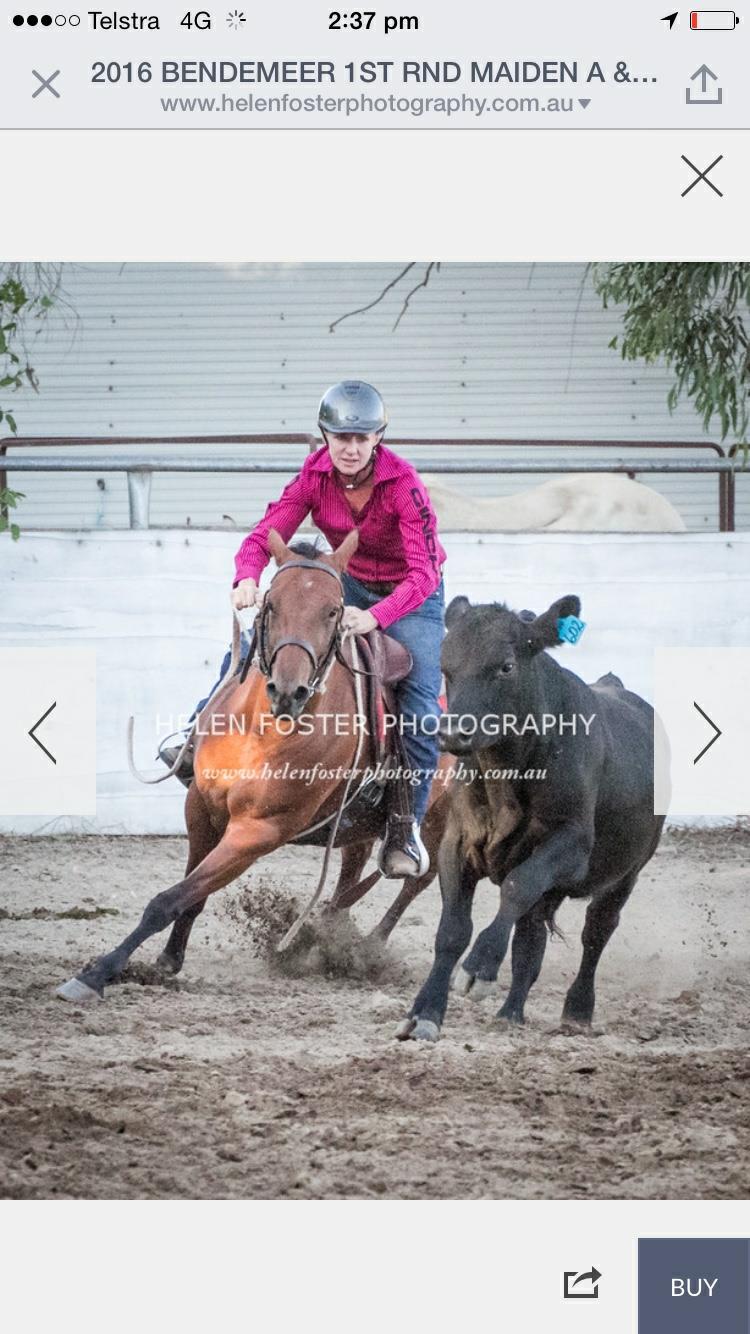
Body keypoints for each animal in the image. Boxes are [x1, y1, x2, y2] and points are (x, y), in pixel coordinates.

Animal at [57, 529, 451, 1002]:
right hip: (357, 823)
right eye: (270, 604)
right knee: (349, 875)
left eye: (333, 611)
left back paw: (366, 944)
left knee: (417, 880)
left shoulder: (258, 831)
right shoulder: (202, 808)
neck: (262, 729)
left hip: (441, 818)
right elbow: (191, 896)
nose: (288, 691)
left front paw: (98, 972)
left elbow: (166, 901)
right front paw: (168, 959)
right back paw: (323, 936)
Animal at [396, 594, 665, 1043]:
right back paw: (512, 1012)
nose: (452, 733)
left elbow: (517, 887)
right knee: (530, 937)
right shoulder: (457, 843)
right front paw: (425, 1012)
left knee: (597, 931)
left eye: (506, 666)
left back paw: (577, 1009)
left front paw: (481, 966)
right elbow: (453, 931)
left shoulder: (571, 846)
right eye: (446, 666)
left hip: (626, 872)